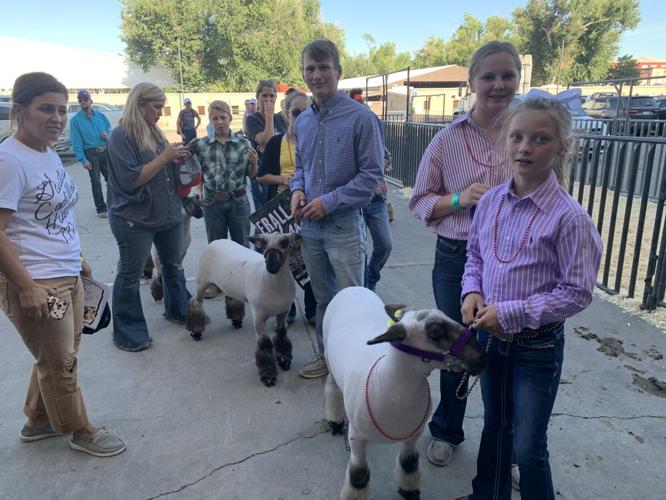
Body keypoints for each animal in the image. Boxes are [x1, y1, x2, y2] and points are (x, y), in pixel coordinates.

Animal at [187, 233, 300, 386]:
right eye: (263, 244)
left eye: (286, 243)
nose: (271, 265)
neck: (273, 283)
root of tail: (216, 241)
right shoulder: (258, 316)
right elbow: (264, 345)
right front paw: (268, 376)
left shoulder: (283, 312)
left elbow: (281, 336)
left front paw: (284, 361)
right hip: (201, 281)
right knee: (196, 303)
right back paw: (196, 332)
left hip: (229, 284)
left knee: (231, 298)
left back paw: (236, 321)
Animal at [322, 288, 482, 500]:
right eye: (435, 331)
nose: (482, 357)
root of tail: (354, 288)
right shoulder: (356, 438)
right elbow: (359, 474)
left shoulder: (414, 434)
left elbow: (409, 463)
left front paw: (409, 491)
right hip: (328, 356)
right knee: (332, 386)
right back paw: (335, 421)